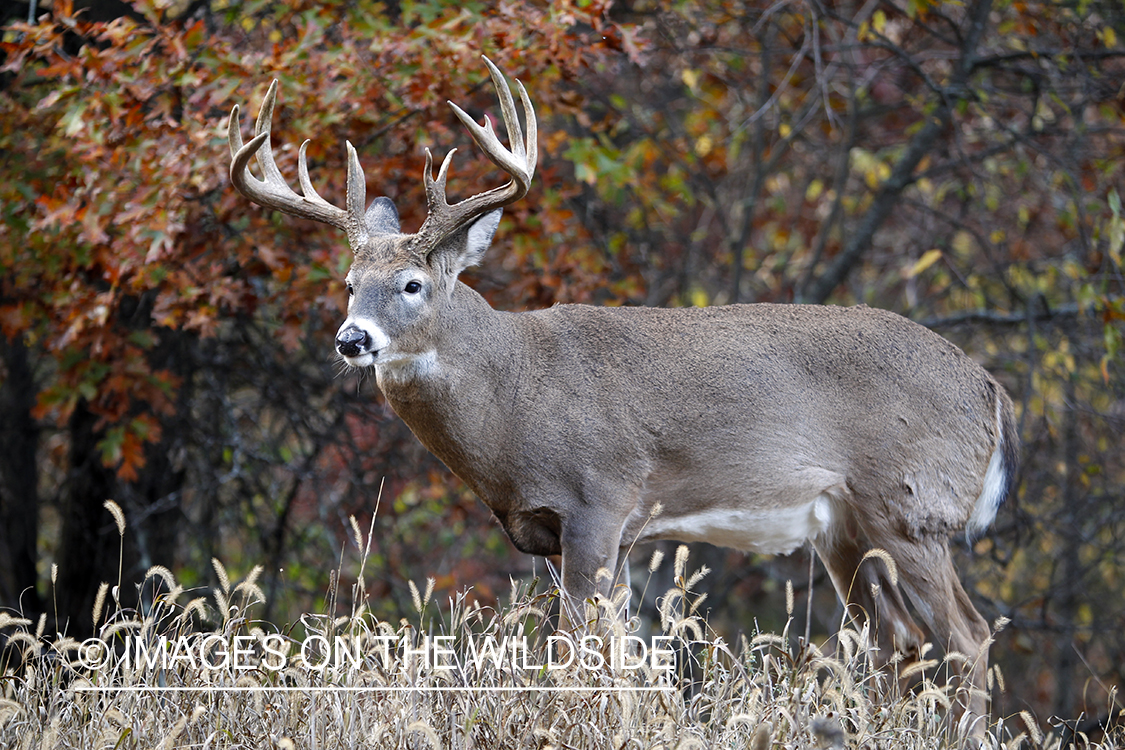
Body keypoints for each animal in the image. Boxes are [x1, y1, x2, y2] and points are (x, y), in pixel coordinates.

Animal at [228, 58, 1021, 733]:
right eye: (348, 283)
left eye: (412, 284)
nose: (351, 339)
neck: (514, 394)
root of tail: (990, 390)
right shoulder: (556, 530)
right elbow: (603, 651)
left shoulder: (601, 500)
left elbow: (577, 652)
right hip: (846, 527)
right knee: (899, 639)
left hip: (910, 505)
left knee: (966, 634)